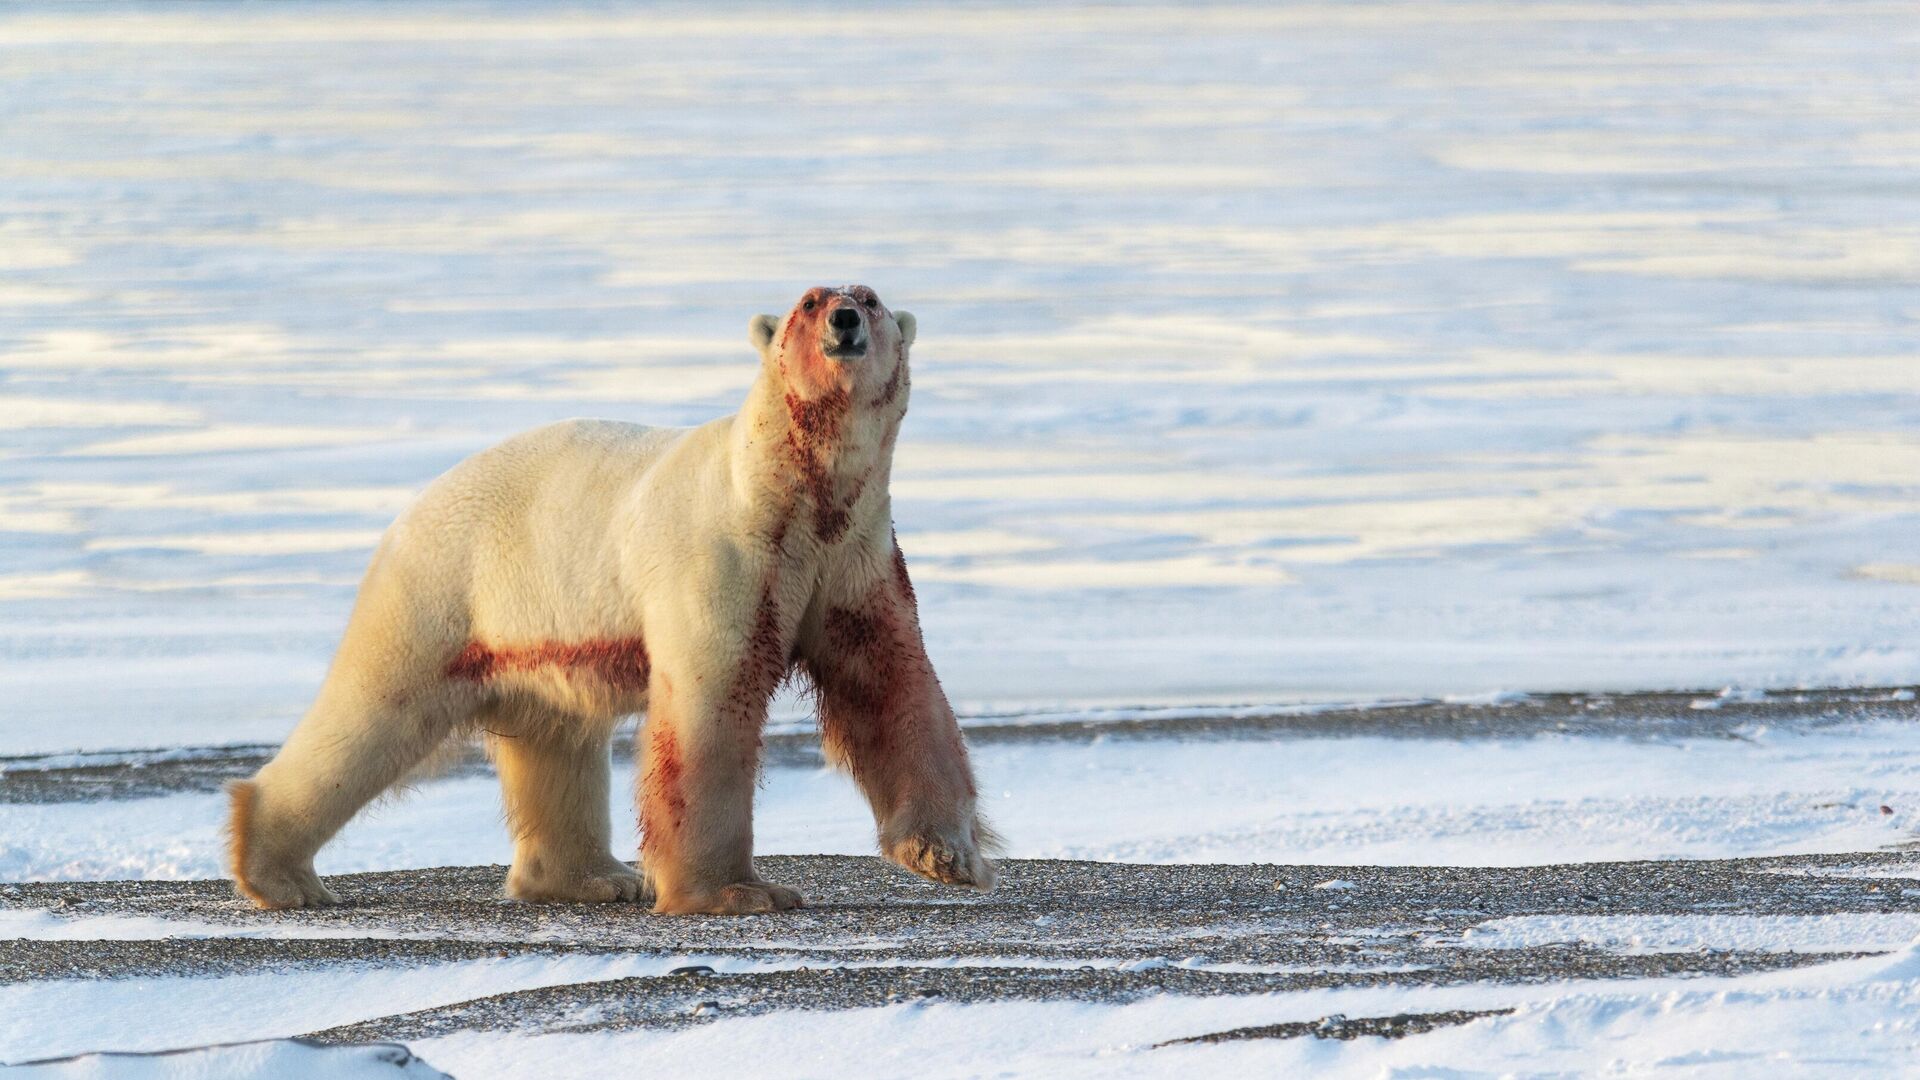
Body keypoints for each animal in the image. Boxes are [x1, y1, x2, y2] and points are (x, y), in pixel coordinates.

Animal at [228, 284, 1006, 907]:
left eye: (869, 299)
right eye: (810, 302)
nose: (844, 321)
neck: (792, 494)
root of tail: (410, 511)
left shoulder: (852, 557)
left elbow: (891, 682)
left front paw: (947, 854)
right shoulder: (727, 555)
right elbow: (711, 707)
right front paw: (738, 892)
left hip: (540, 635)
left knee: (558, 743)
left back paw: (594, 878)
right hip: (445, 591)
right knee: (372, 712)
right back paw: (281, 874)